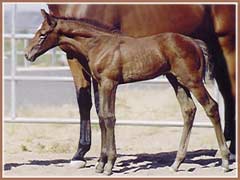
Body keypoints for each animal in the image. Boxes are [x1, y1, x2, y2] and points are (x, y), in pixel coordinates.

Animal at [25, 9, 230, 174]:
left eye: (43, 34)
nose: (27, 54)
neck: (99, 44)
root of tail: (194, 42)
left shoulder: (110, 83)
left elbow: (109, 118)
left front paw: (109, 165)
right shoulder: (101, 84)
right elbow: (102, 117)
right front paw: (100, 164)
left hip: (192, 81)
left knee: (211, 107)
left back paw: (225, 160)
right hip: (176, 81)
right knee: (188, 110)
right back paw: (176, 164)